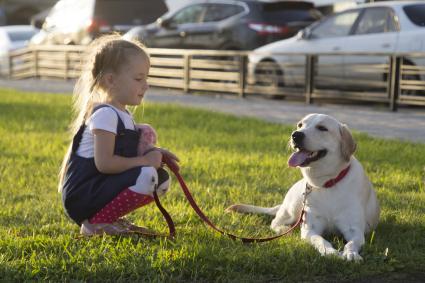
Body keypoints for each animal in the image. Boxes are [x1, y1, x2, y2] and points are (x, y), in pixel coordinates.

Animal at [227, 113, 380, 262]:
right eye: (300, 125)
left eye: (322, 128)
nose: (295, 135)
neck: (326, 183)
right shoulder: (309, 229)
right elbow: (320, 240)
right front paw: (330, 252)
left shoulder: (354, 230)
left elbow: (351, 243)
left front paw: (351, 253)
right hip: (292, 209)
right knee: (275, 222)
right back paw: (284, 229)